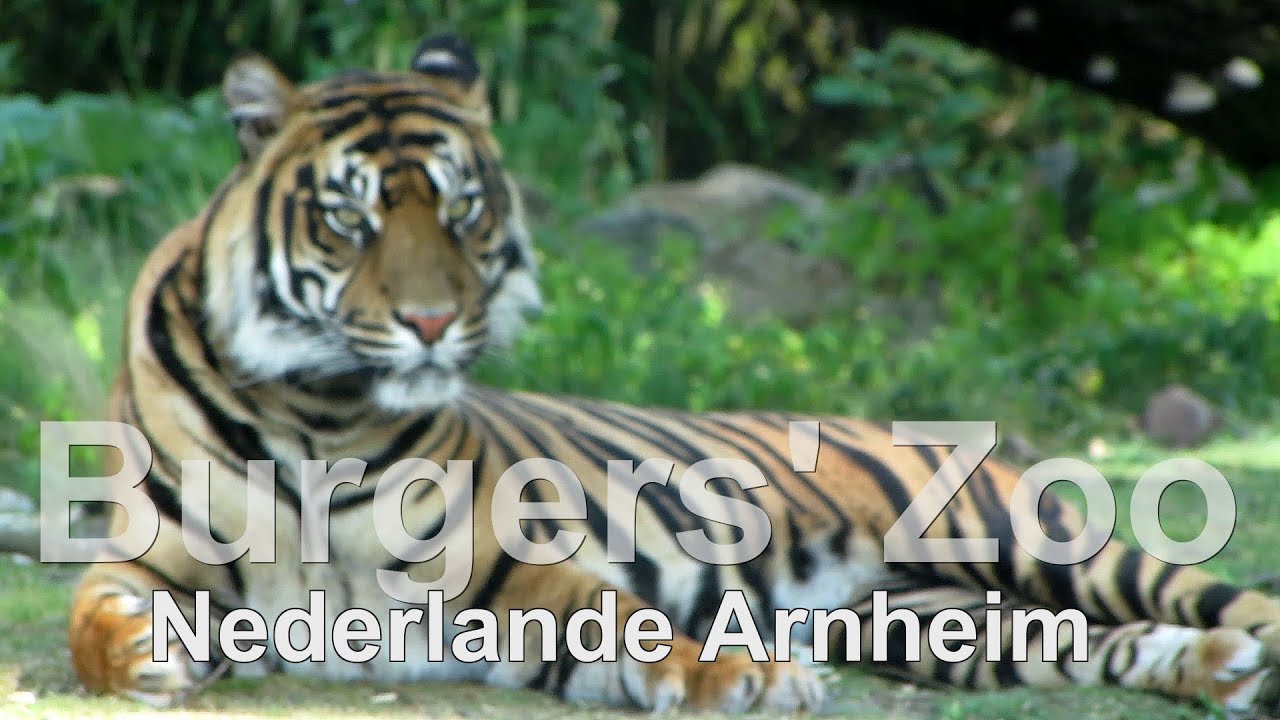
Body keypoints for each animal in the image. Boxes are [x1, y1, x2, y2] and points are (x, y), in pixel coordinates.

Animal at [67, 33, 1280, 718]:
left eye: (463, 209)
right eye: (351, 218)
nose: (431, 320)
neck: (320, 413)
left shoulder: (517, 577)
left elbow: (637, 627)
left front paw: (746, 678)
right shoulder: (148, 559)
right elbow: (99, 624)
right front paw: (147, 661)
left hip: (1049, 541)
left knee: (1212, 598)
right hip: (932, 618)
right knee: (1087, 645)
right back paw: (1215, 668)